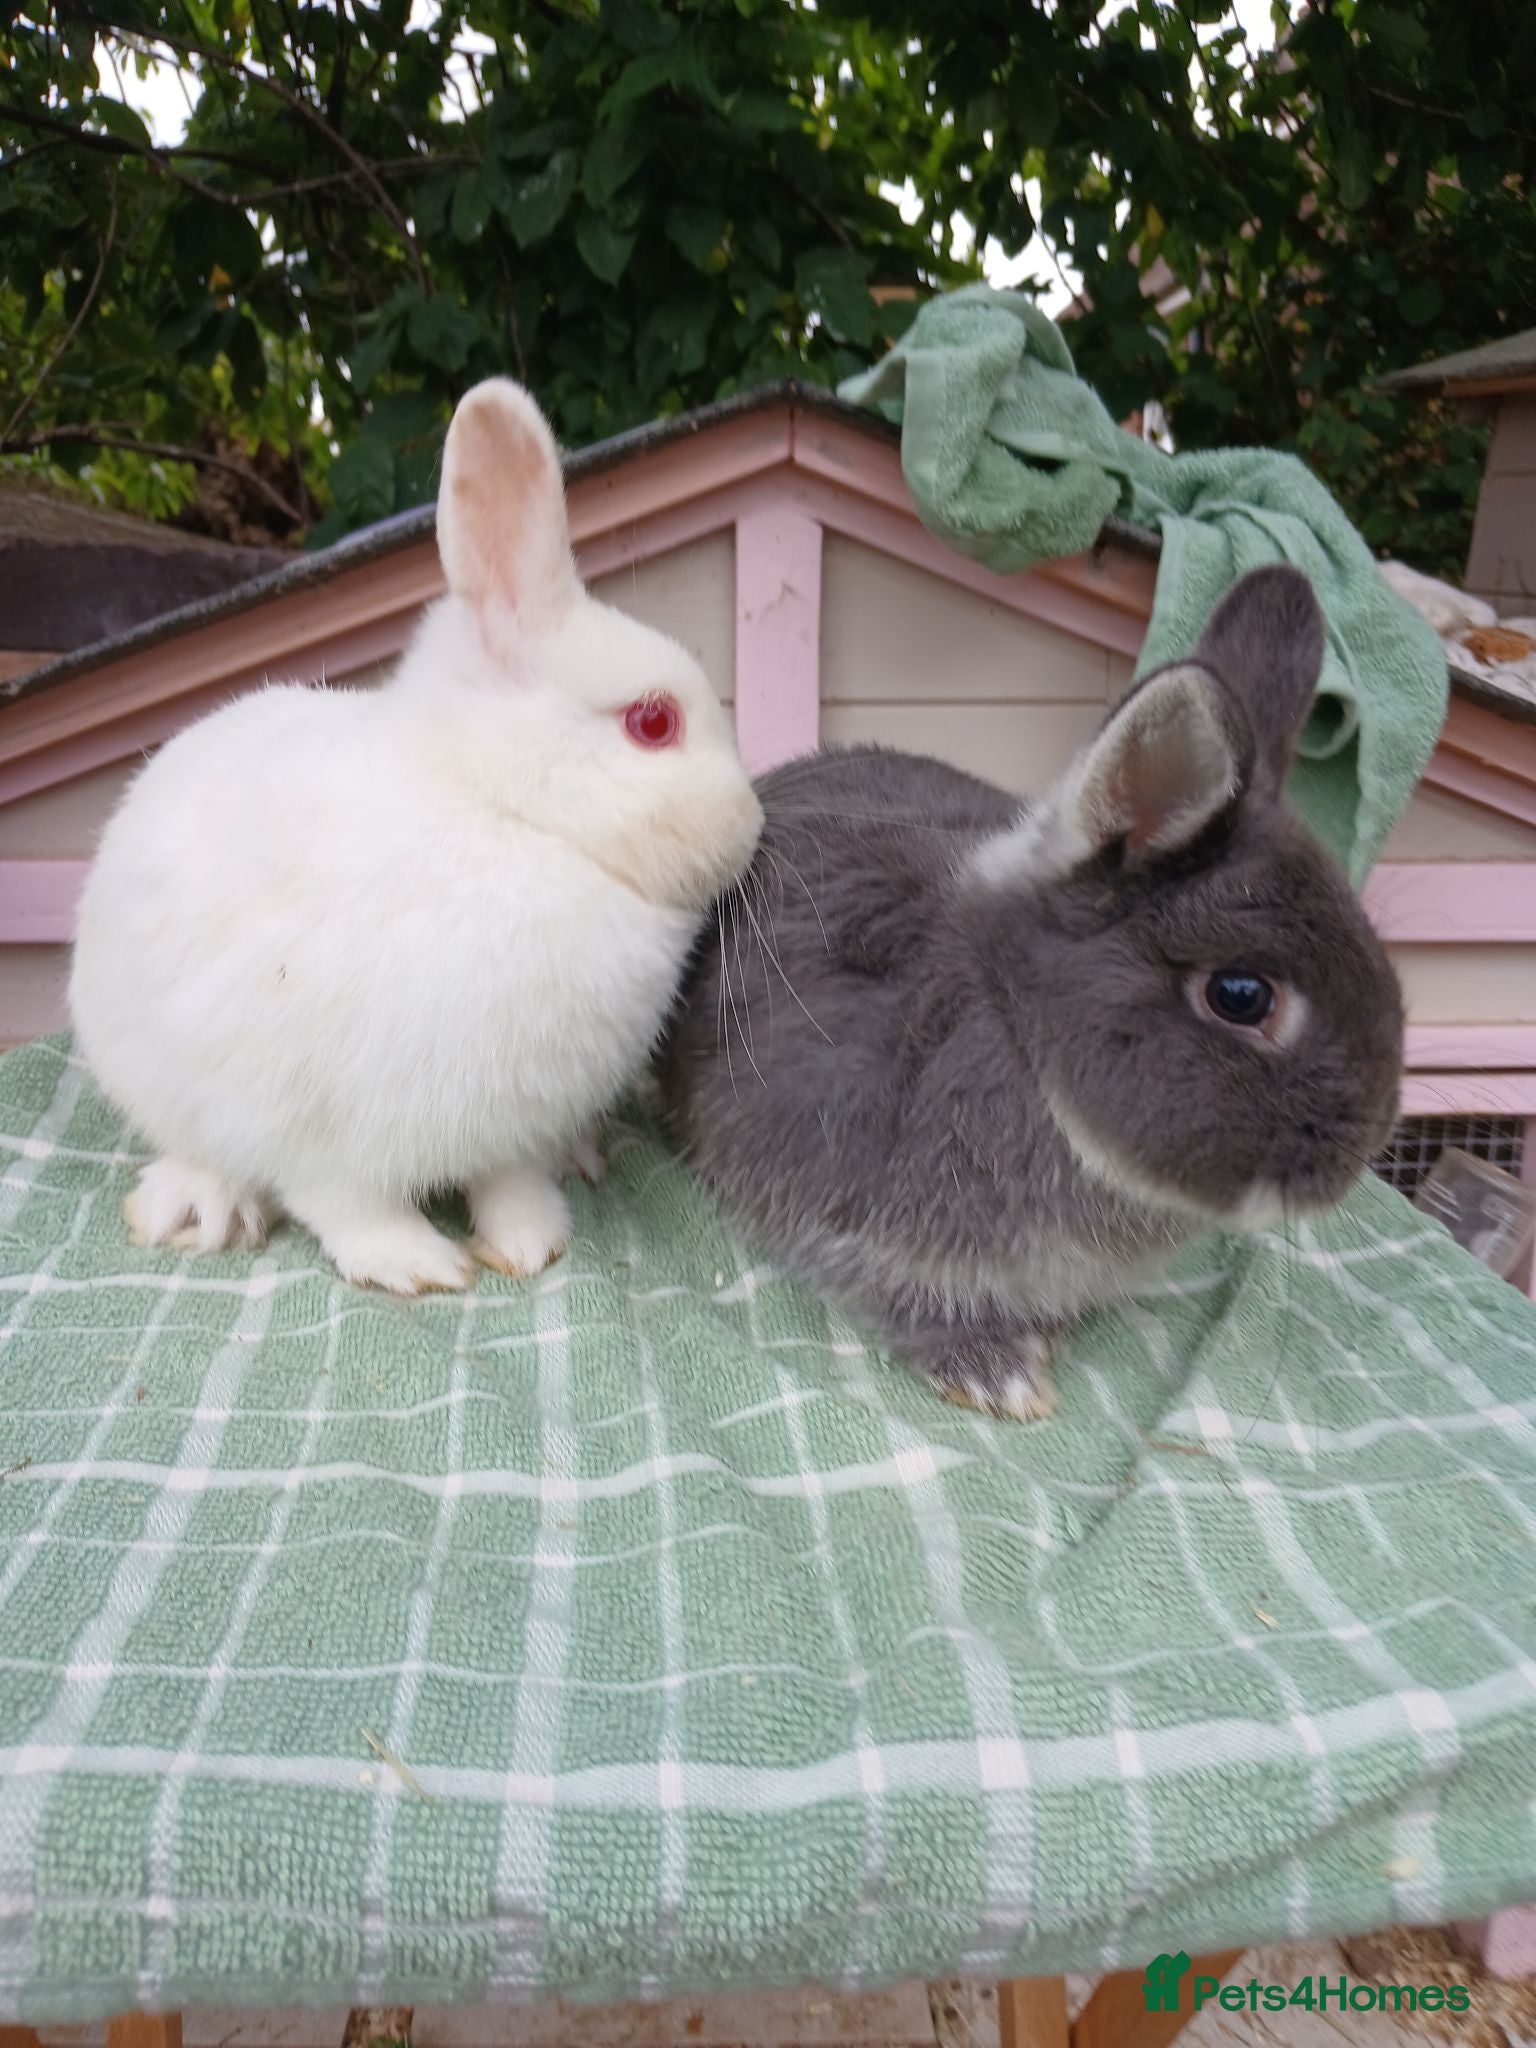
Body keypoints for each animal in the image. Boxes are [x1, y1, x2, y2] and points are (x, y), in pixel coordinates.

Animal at [70, 378, 764, 1295]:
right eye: (654, 723)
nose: (751, 823)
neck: (505, 814)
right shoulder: (313, 1128)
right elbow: (349, 1208)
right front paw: (421, 1267)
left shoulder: (510, 1126)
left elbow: (510, 1182)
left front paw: (528, 1244)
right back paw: (201, 1208)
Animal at [657, 566, 1404, 1421]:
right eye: (1243, 995)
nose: (1363, 1151)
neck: (1016, 1025)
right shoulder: (838, 1202)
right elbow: (891, 1288)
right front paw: (998, 1372)